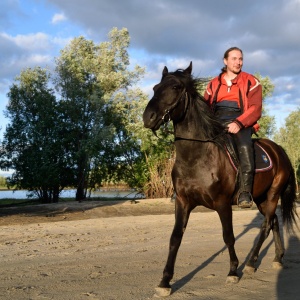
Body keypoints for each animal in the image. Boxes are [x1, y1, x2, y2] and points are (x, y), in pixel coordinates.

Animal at [142, 62, 298, 296]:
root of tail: (279, 150)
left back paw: (250, 263)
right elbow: (175, 238)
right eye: (155, 88)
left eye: (176, 87)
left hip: (272, 195)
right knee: (274, 222)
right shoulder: (183, 202)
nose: (148, 117)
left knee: (265, 225)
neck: (197, 156)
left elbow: (228, 236)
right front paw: (165, 282)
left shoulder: (223, 203)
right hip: (261, 198)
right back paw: (277, 258)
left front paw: (233, 271)